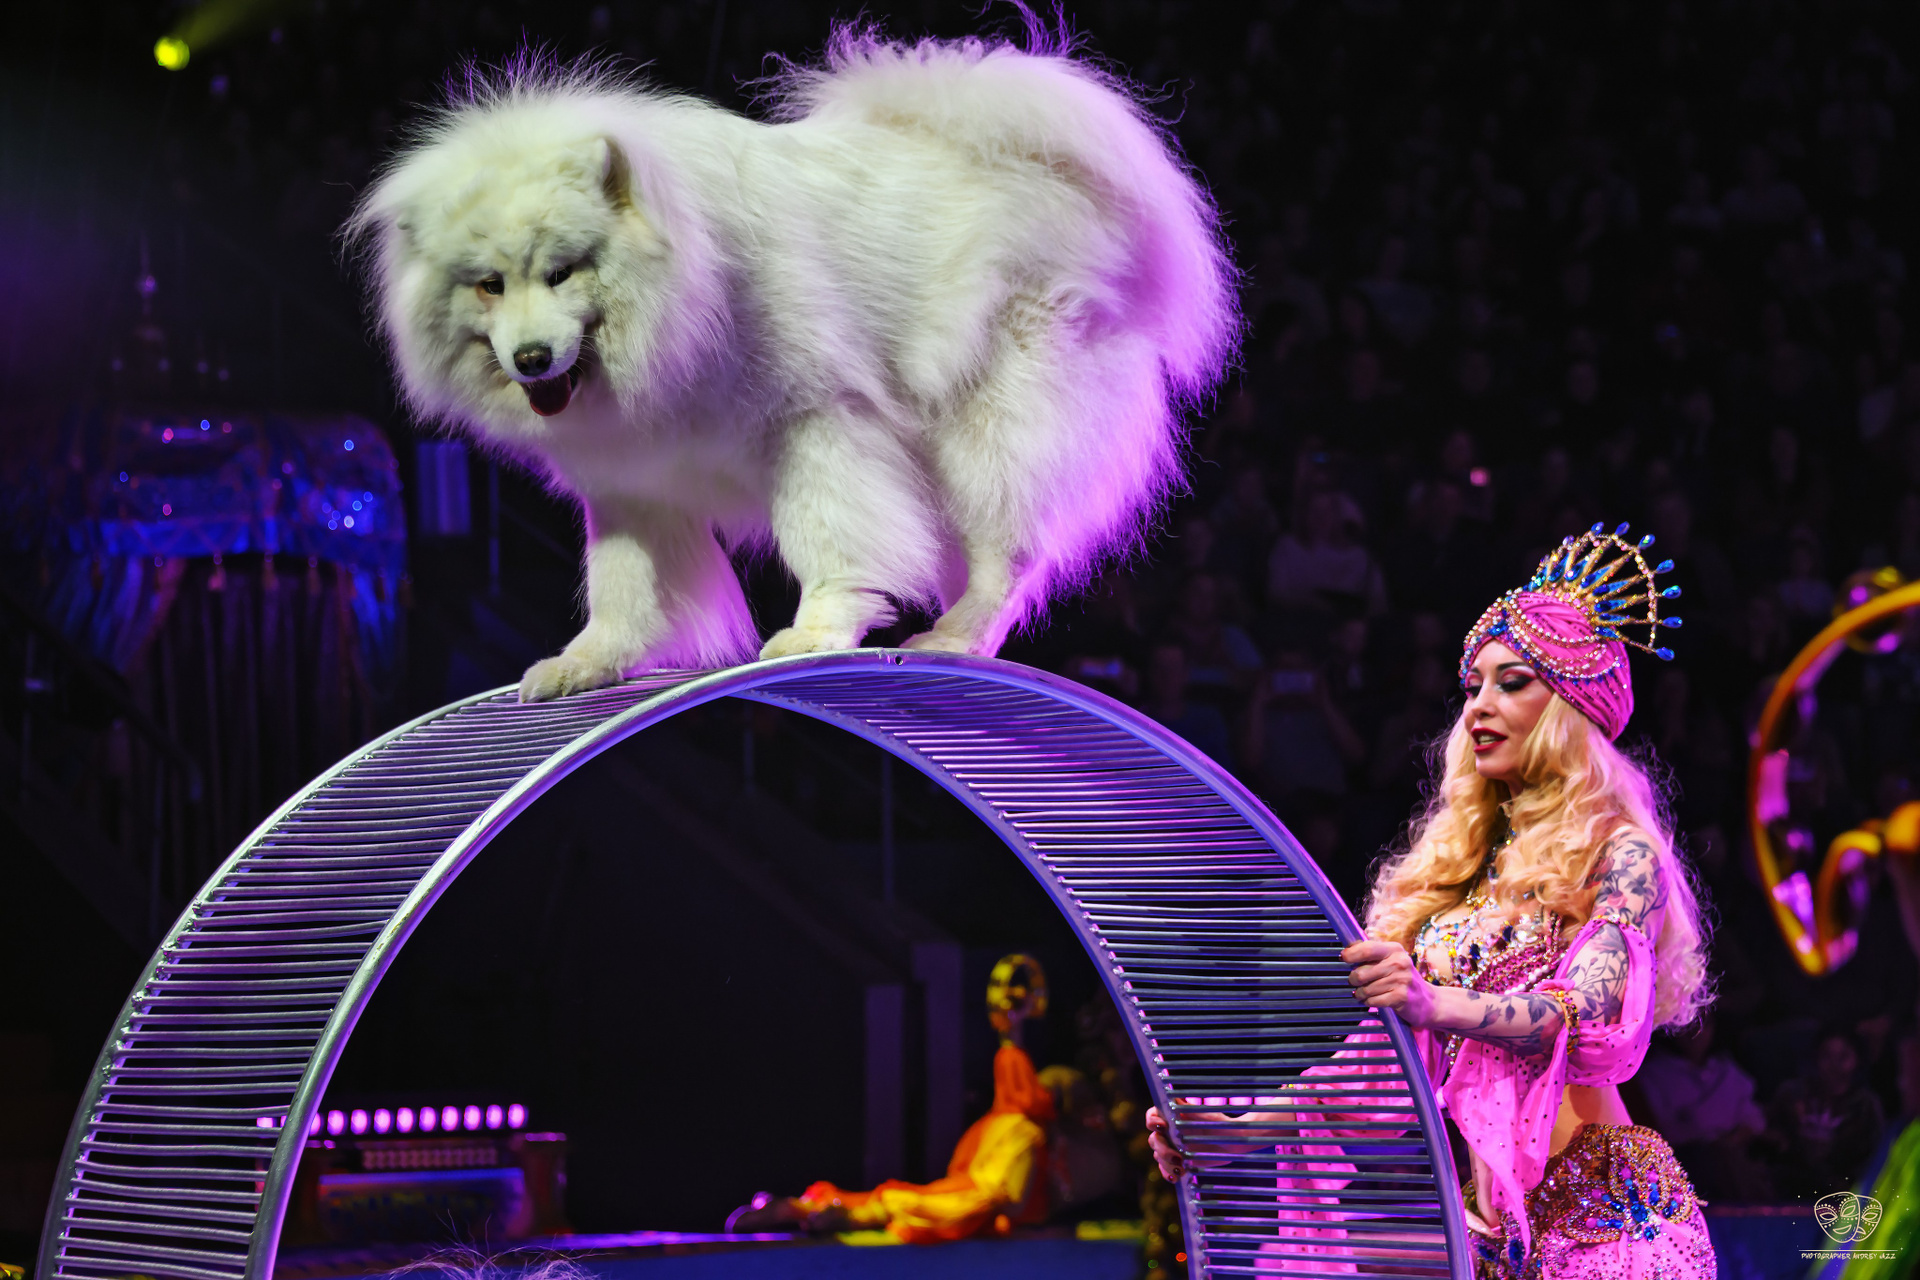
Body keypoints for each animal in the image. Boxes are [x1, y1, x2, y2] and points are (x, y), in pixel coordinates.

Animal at [347, 22, 1235, 702]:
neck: (685, 300)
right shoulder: (631, 482)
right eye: (489, 285)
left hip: (991, 423)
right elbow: (622, 586)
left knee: (1004, 555)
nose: (532, 359)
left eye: (562, 271)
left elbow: (829, 535)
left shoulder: (817, 424)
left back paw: (955, 636)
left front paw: (816, 631)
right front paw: (589, 662)